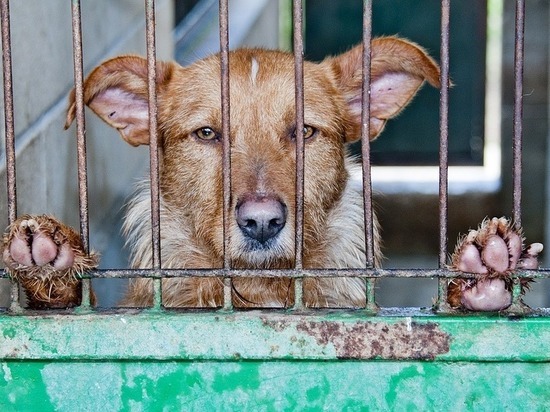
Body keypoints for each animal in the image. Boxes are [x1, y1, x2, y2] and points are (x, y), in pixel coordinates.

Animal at [1, 37, 544, 310]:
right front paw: (53, 265)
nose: (261, 222)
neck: (261, 291)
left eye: (303, 131)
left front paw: (477, 277)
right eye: (207, 134)